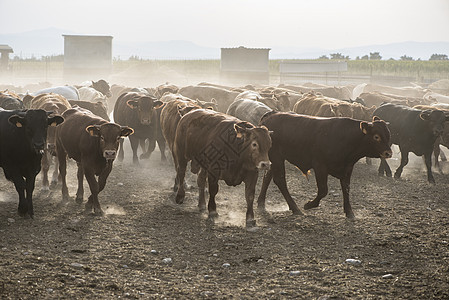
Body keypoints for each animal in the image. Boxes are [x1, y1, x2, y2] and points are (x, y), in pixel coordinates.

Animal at [258, 111, 390, 219]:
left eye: (388, 135)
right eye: (376, 136)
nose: (388, 153)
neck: (346, 138)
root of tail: (270, 117)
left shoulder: (347, 168)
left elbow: (346, 189)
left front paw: (349, 212)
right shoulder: (320, 166)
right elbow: (323, 190)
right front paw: (309, 204)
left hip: (275, 159)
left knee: (267, 177)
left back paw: (261, 203)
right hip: (277, 157)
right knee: (279, 180)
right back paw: (296, 208)